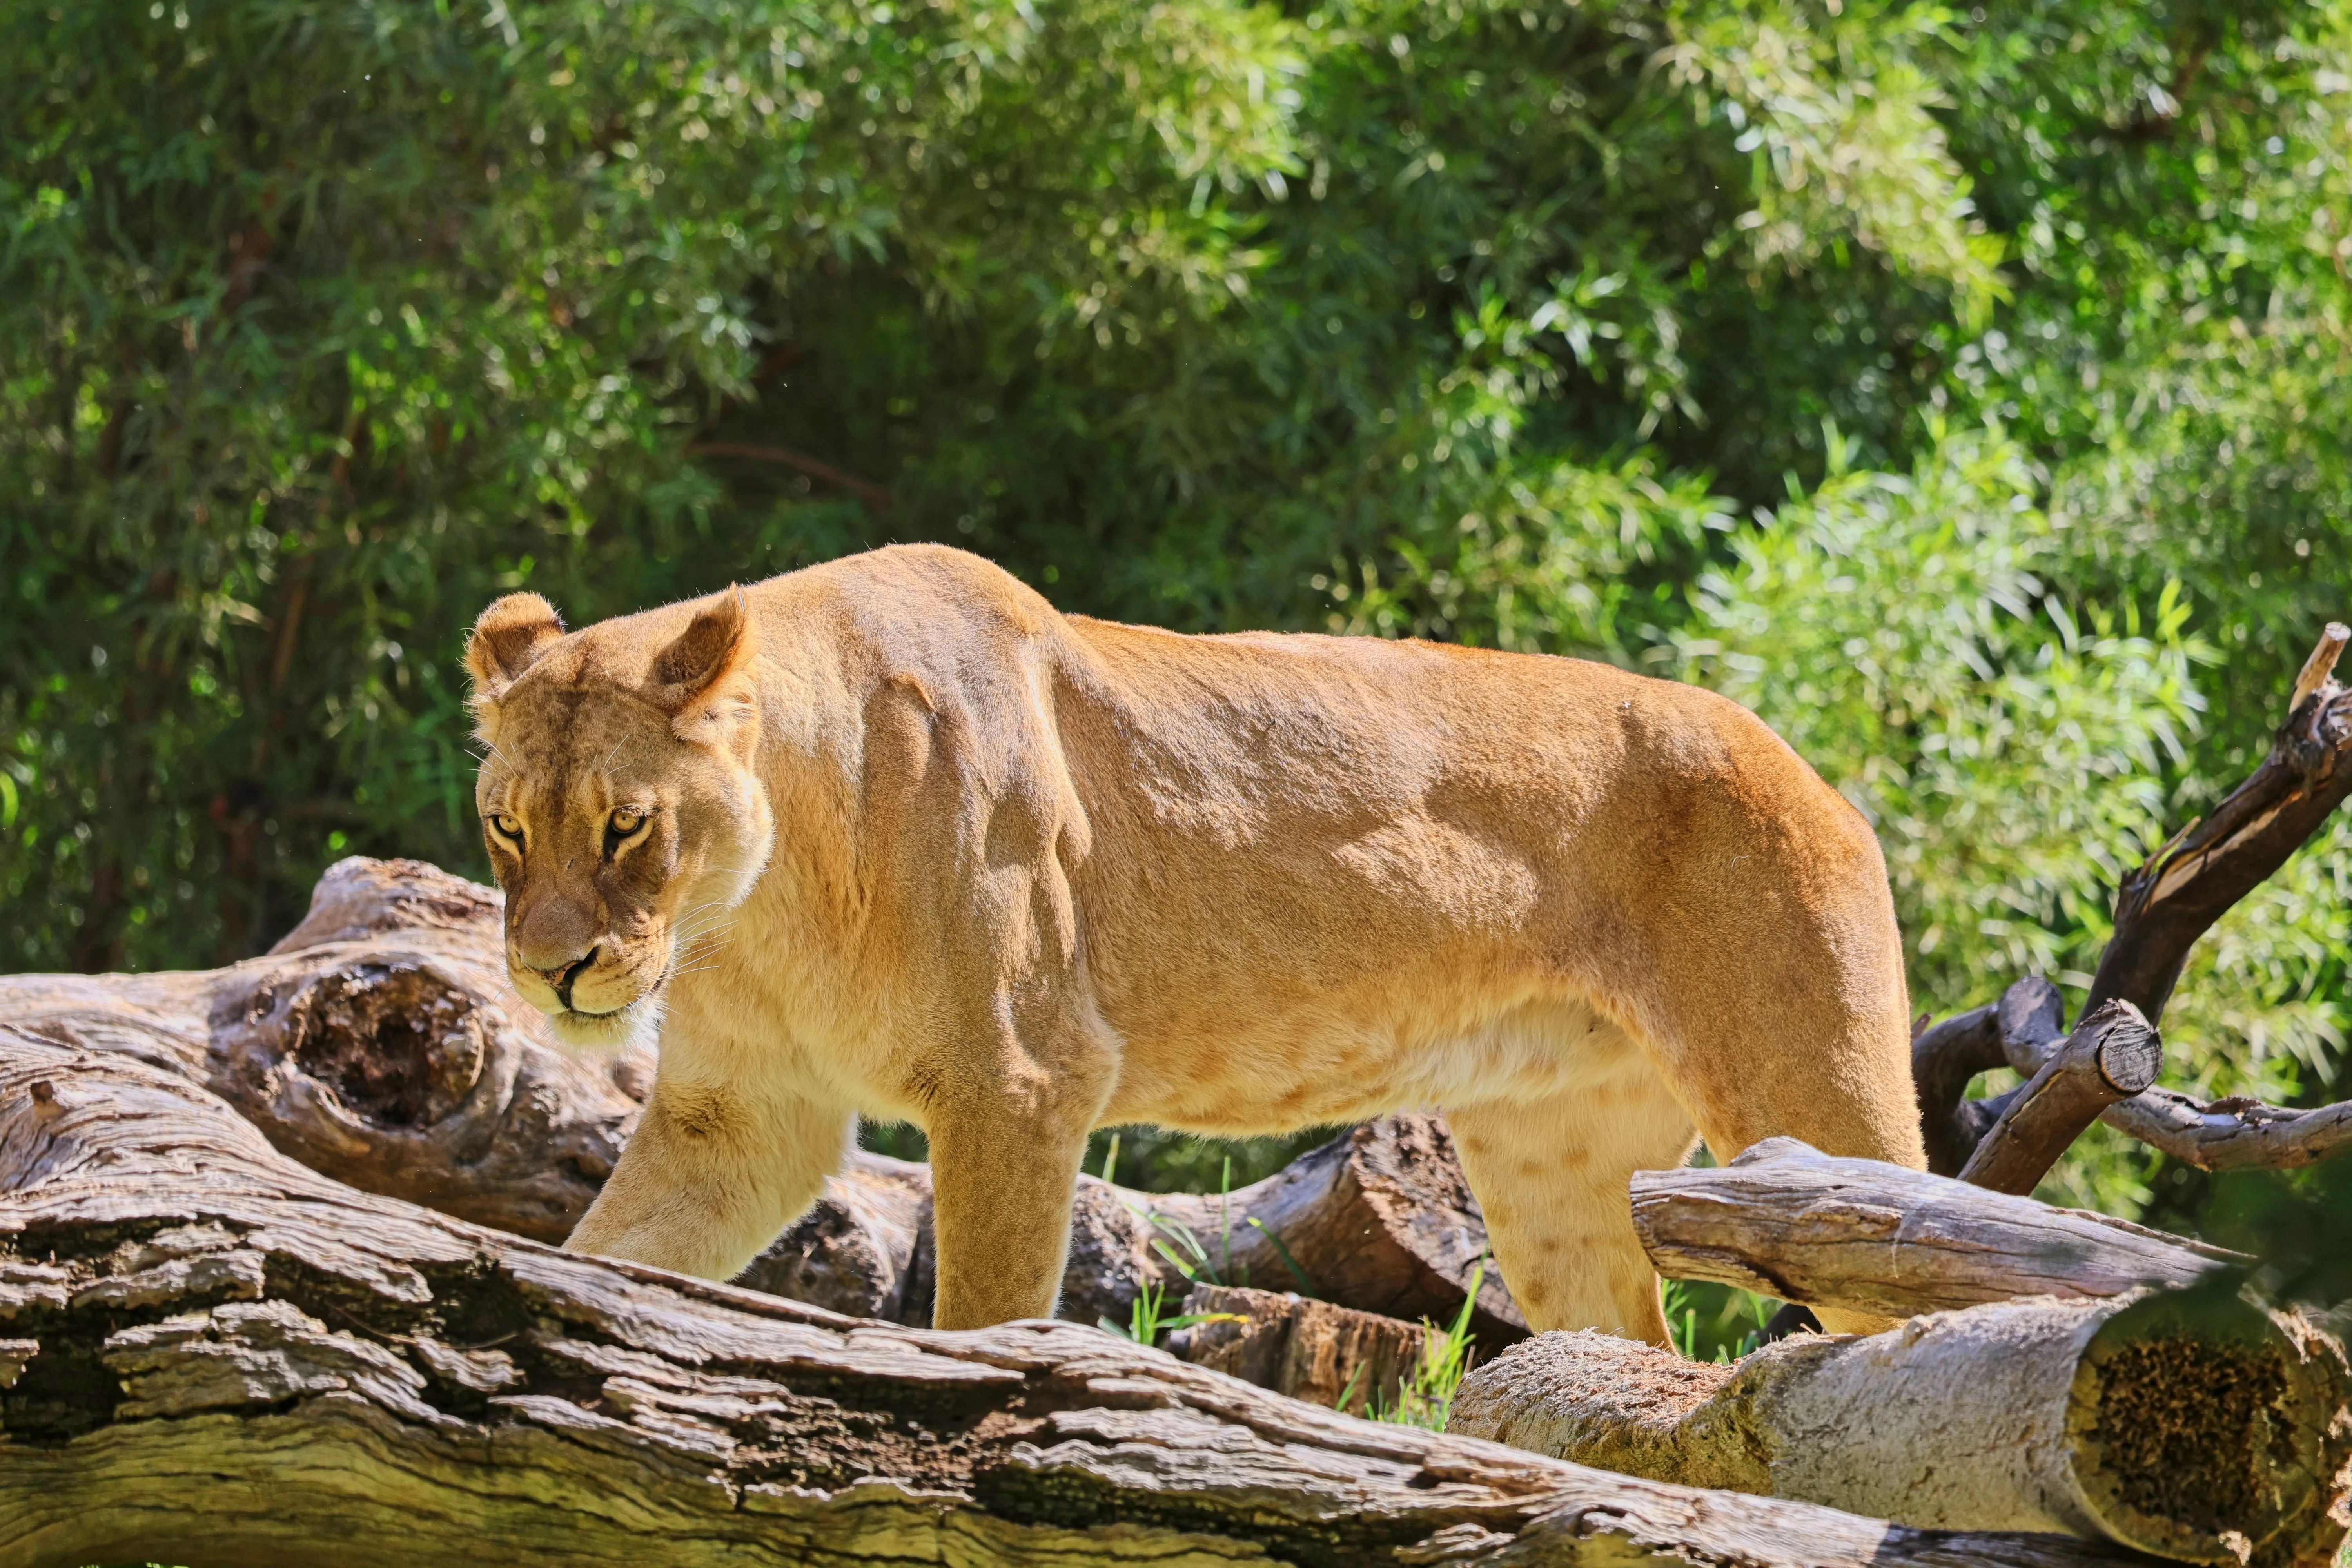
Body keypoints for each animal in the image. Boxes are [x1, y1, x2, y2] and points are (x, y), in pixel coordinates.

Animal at [465, 543, 1923, 1341]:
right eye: (505, 827)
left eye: (626, 825)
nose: (550, 974)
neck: (762, 904)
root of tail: (1794, 757)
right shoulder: (742, 1121)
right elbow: (602, 1256)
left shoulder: (1021, 1084)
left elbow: (981, 1325)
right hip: (1554, 1167)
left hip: (1815, 1093)